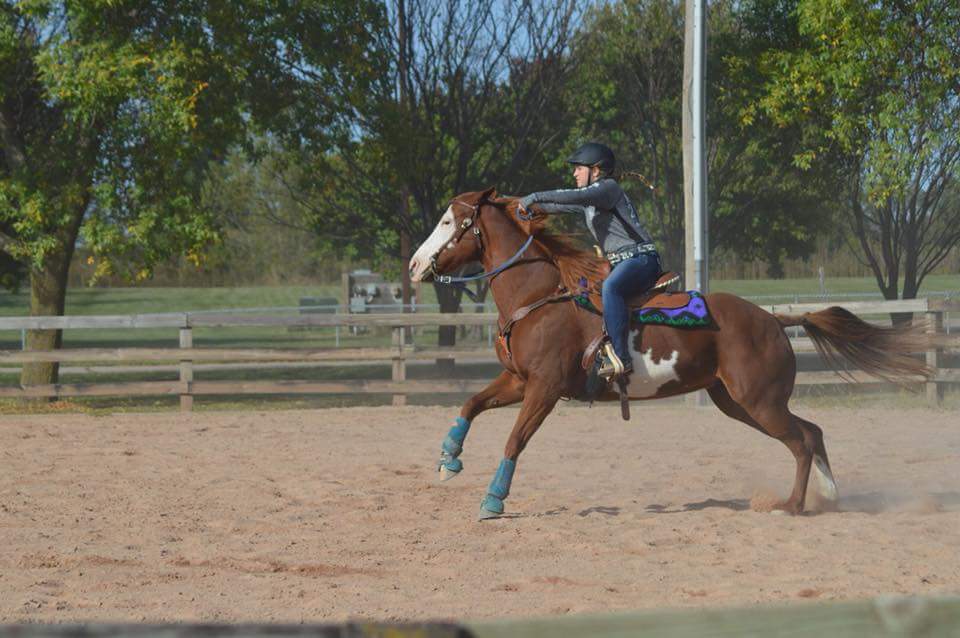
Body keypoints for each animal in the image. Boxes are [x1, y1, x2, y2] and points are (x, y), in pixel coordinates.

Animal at [408, 189, 932, 520]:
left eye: (449, 221)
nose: (414, 265)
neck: (538, 296)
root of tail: (775, 320)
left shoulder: (545, 388)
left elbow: (515, 440)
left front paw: (493, 501)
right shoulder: (519, 380)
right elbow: (470, 403)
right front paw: (448, 459)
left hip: (759, 401)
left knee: (802, 441)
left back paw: (793, 506)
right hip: (740, 402)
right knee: (812, 431)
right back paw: (829, 495)